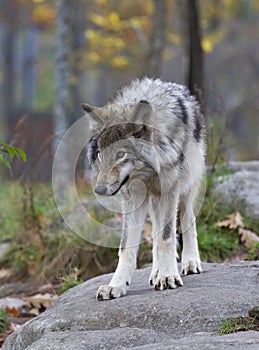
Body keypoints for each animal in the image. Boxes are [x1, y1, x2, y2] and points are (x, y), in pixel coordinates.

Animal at [83, 78, 207, 300]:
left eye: (121, 154)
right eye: (100, 155)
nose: (99, 190)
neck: (147, 173)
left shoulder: (170, 189)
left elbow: (166, 237)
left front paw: (168, 276)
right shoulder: (133, 197)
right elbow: (126, 247)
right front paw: (116, 285)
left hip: (185, 186)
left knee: (187, 219)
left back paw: (190, 262)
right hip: (155, 199)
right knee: (156, 231)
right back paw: (156, 272)